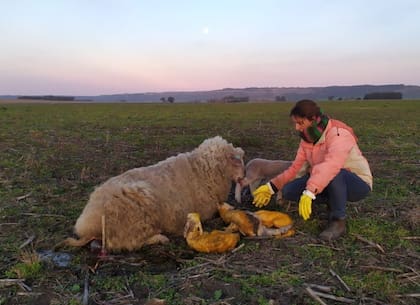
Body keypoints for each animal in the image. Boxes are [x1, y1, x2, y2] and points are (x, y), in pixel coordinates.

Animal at [57, 136, 244, 252]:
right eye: (238, 162)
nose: (242, 178)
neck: (202, 168)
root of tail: (90, 226)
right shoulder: (206, 211)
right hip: (135, 217)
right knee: (128, 242)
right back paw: (159, 238)